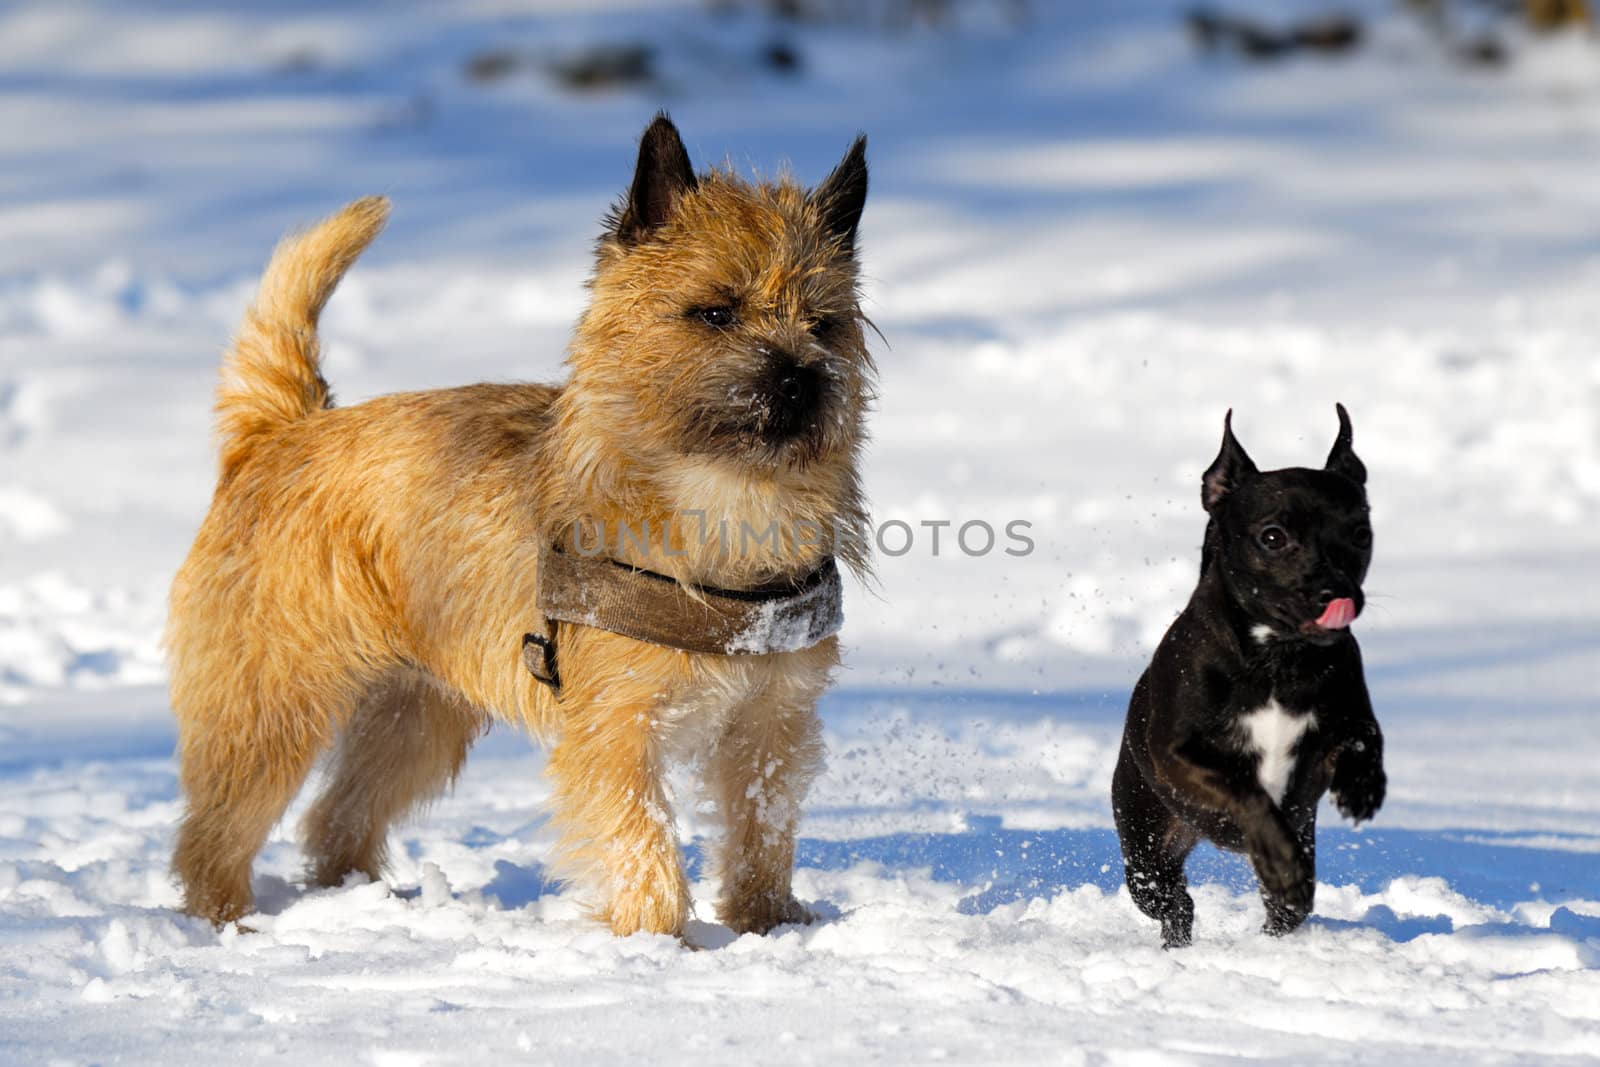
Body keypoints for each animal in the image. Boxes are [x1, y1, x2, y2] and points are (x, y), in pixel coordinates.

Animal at [168, 112, 876, 940]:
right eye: (715, 311)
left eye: (823, 324)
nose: (799, 378)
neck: (723, 507)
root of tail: (281, 428)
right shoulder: (615, 728)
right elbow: (642, 844)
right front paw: (657, 940)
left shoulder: (772, 721)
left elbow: (763, 826)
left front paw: (770, 922)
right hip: (273, 702)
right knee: (217, 829)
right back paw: (227, 921)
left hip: (414, 717)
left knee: (336, 817)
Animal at [1113, 404, 1388, 947]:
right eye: (1273, 537)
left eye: (1361, 535)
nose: (1334, 590)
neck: (1277, 657)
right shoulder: (1180, 757)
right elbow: (1245, 791)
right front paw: (1280, 860)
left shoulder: (1339, 725)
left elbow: (1365, 737)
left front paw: (1362, 788)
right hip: (1146, 848)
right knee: (1172, 900)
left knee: (1282, 909)